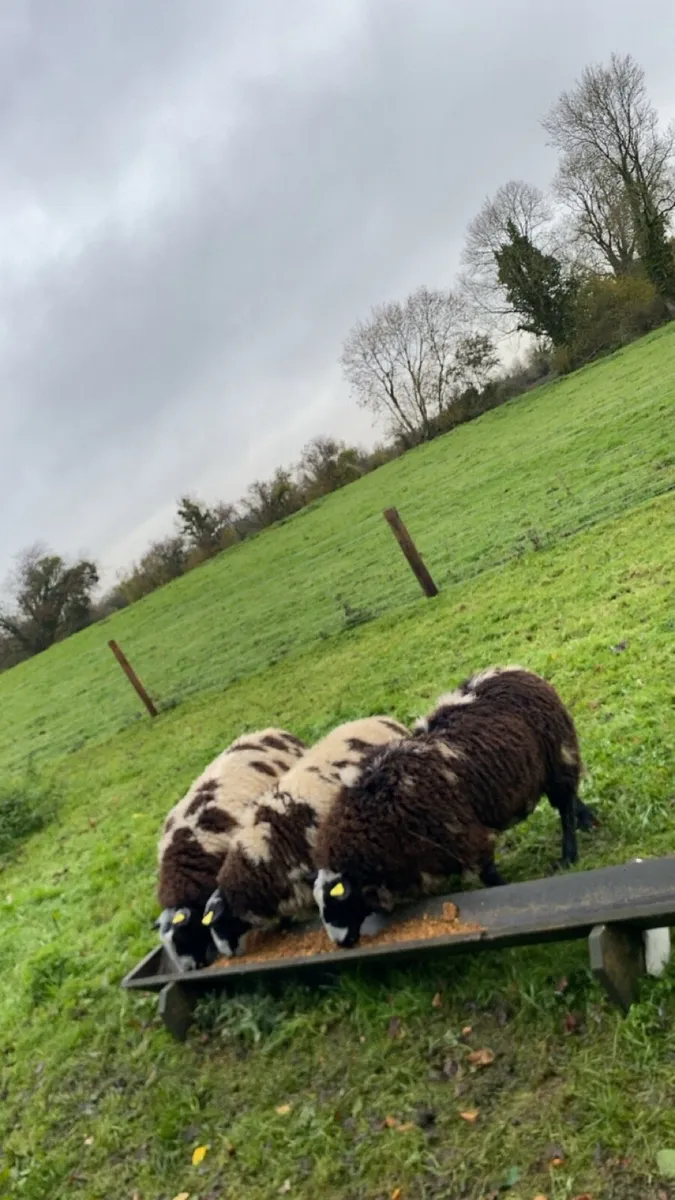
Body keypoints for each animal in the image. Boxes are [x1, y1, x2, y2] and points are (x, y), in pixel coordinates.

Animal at [314, 666, 597, 948]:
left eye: (336, 902)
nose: (341, 943)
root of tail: (512, 670)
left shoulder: (466, 838)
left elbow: (490, 877)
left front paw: (507, 890)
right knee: (569, 799)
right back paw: (588, 821)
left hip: (558, 752)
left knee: (564, 808)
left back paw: (568, 855)